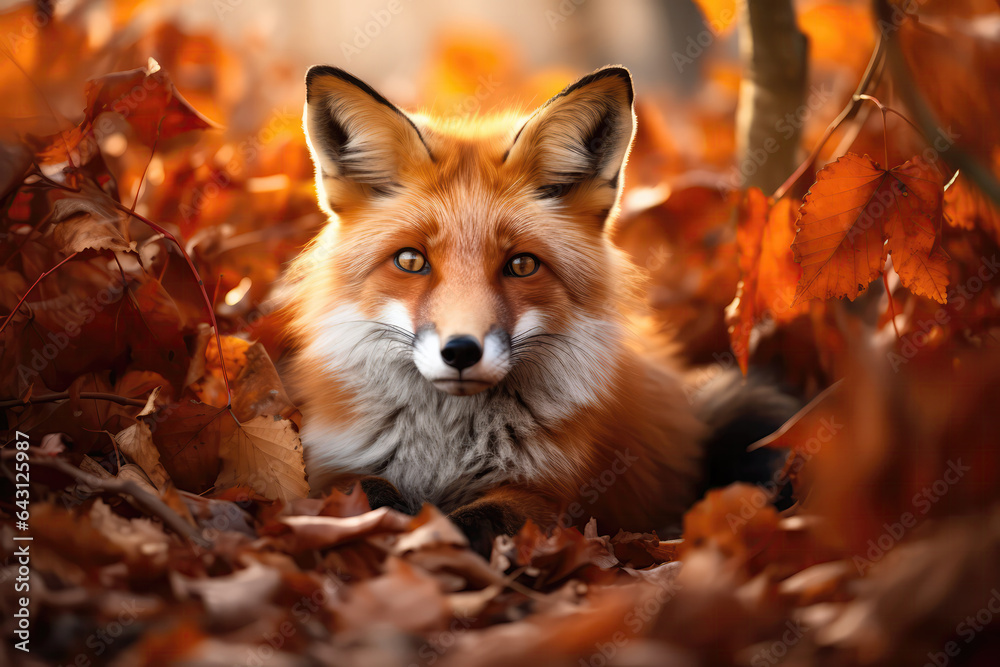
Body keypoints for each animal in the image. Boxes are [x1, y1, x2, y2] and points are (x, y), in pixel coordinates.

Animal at [284, 64, 793, 554]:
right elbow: (361, 489)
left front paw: (440, 536)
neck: (443, 447)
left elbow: (487, 517)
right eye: (410, 261)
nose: (461, 351)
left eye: (522, 265)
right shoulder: (332, 464)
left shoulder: (555, 496)